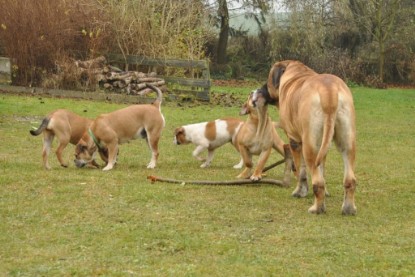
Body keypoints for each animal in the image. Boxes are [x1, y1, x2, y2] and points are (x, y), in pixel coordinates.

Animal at [256, 60, 358, 215]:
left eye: (268, 80)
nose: (261, 89)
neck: (296, 74)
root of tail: (329, 91)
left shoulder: (295, 141)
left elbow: (301, 171)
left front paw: (300, 191)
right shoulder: (323, 147)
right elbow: (322, 169)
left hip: (311, 146)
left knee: (318, 182)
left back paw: (317, 208)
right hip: (347, 142)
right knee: (349, 179)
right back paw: (348, 208)